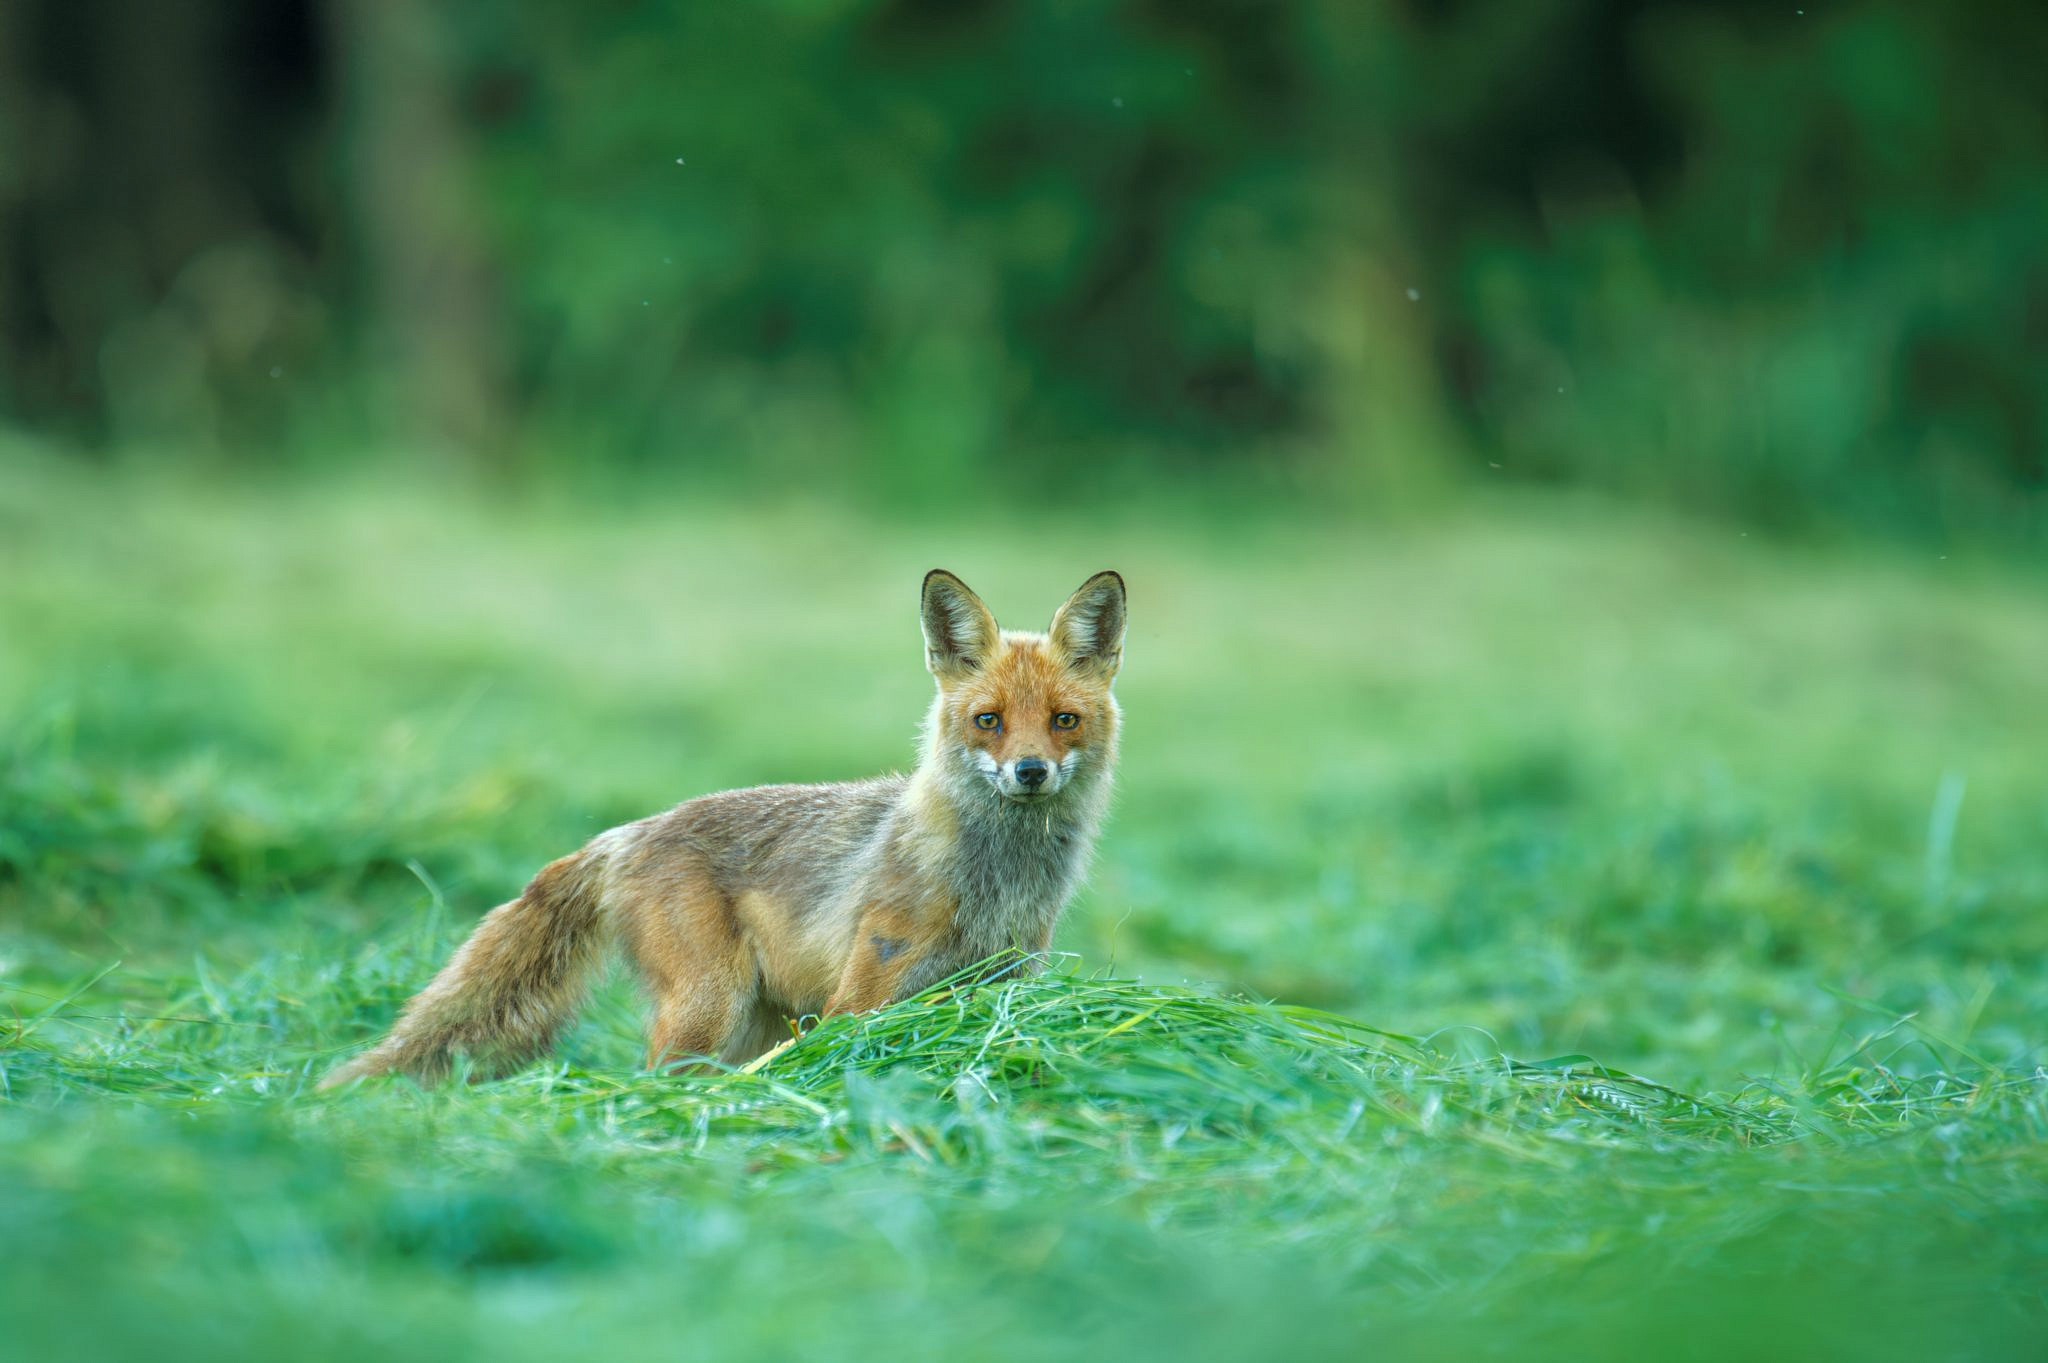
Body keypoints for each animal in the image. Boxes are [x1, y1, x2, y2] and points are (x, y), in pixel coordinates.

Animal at [319, 568, 1126, 1088]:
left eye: (1063, 720)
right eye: (989, 720)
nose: (1029, 771)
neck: (993, 880)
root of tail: (632, 830)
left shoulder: (1005, 983)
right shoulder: (862, 995)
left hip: (752, 1023)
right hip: (709, 1008)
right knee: (651, 1081)